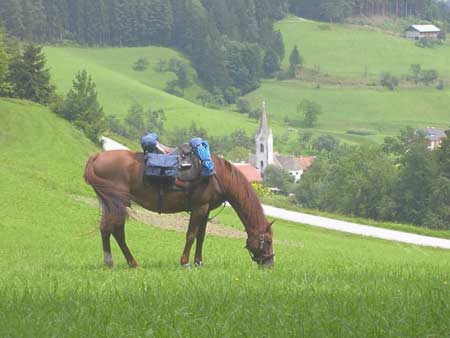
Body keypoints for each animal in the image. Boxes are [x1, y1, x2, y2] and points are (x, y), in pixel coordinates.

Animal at [84, 151, 274, 270]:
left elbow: (201, 237)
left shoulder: (205, 210)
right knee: (116, 231)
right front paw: (185, 263)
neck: (216, 175)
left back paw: (117, 263)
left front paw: (198, 262)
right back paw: (127, 263)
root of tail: (97, 157)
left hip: (111, 203)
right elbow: (191, 235)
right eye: (268, 241)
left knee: (107, 229)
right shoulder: (199, 208)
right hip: (118, 203)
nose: (270, 264)